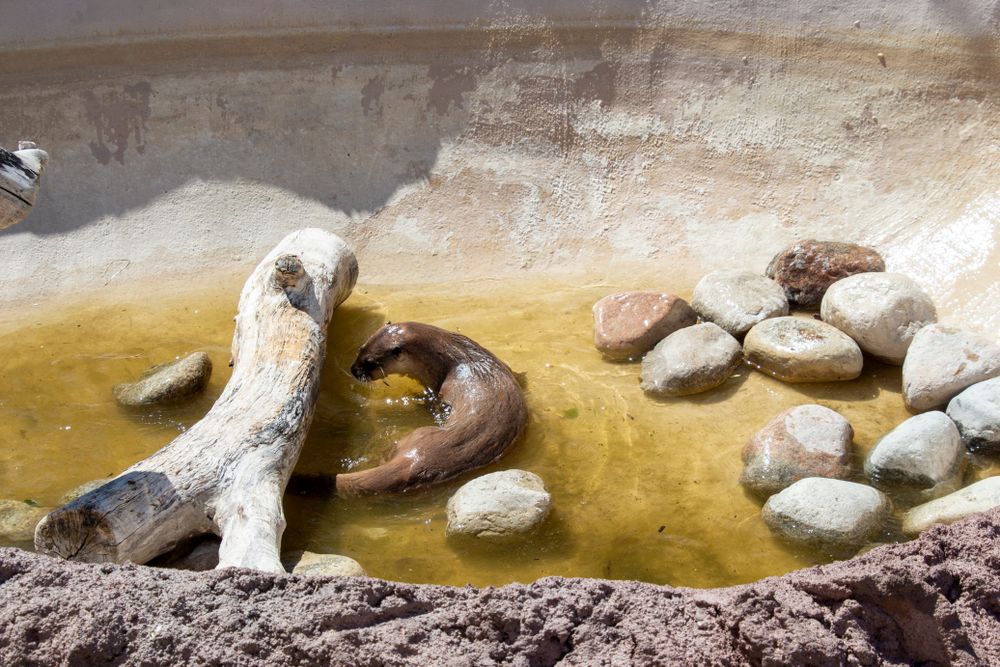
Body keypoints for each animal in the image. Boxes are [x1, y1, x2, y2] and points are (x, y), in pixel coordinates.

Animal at [328, 321, 528, 496]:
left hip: (414, 436)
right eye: (360, 349)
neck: (455, 353)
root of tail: (416, 461)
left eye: (371, 362)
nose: (354, 370)